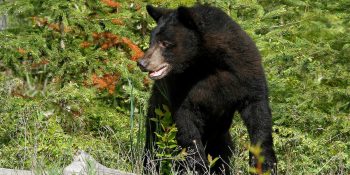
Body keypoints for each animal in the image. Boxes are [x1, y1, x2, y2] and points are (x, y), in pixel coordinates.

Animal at [138, 4, 278, 175]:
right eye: (151, 41)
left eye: (165, 43)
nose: (142, 63)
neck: (207, 63)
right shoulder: (180, 86)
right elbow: (186, 120)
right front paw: (198, 166)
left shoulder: (245, 71)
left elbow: (257, 110)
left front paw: (265, 163)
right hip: (158, 118)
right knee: (154, 145)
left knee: (223, 152)